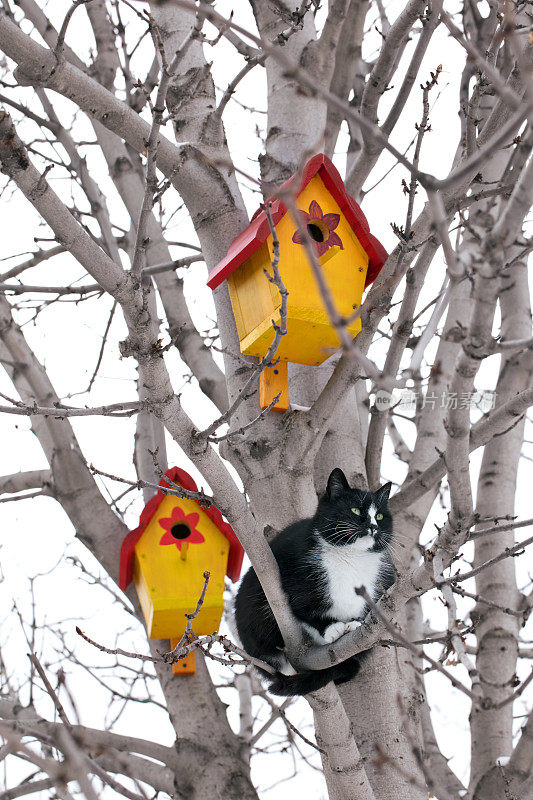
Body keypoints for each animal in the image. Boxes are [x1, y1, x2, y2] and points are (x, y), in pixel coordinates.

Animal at [234, 468, 394, 692]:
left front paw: (354, 623)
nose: (372, 526)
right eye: (355, 510)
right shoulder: (291, 572)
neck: (351, 557)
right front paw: (332, 628)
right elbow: (303, 609)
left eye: (379, 515)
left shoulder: (384, 583)